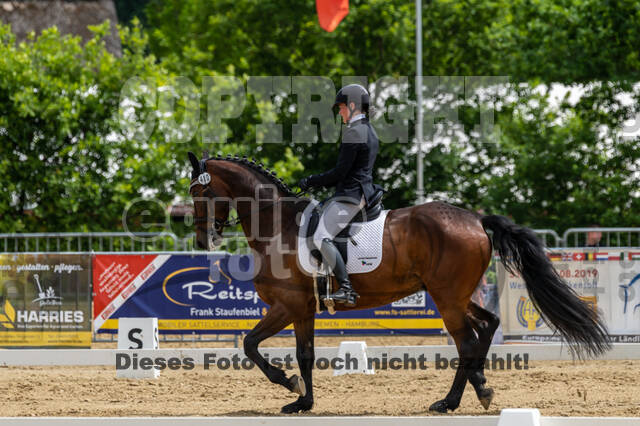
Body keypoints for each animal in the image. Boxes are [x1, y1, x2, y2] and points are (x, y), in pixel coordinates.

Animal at [187, 152, 610, 414]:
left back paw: (456, 399)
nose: (203, 240)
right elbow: (303, 355)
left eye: (198, 192)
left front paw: (287, 384)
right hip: (455, 294)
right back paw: (473, 388)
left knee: (467, 341)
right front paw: (302, 402)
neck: (279, 225)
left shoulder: (287, 305)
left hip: (446, 297)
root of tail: (476, 219)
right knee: (486, 325)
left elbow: (250, 344)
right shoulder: (303, 308)